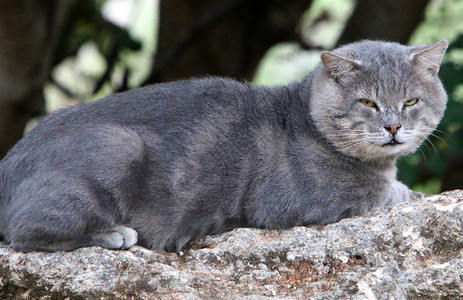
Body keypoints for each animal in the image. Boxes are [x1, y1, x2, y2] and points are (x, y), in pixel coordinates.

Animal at [0, 39, 450, 251]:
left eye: (411, 102)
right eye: (368, 103)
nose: (393, 126)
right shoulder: (295, 202)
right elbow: (382, 193)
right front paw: (404, 191)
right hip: (116, 145)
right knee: (27, 230)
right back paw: (114, 234)